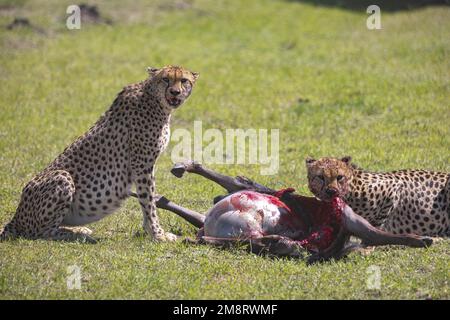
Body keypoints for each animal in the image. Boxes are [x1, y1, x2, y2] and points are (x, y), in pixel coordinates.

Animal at [0, 65, 200, 241]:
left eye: (183, 80)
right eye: (165, 79)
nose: (175, 92)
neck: (155, 100)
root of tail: (16, 217)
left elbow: (147, 201)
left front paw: (151, 232)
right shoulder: (142, 164)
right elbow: (148, 201)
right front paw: (158, 234)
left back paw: (79, 229)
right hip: (62, 176)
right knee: (41, 232)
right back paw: (78, 235)